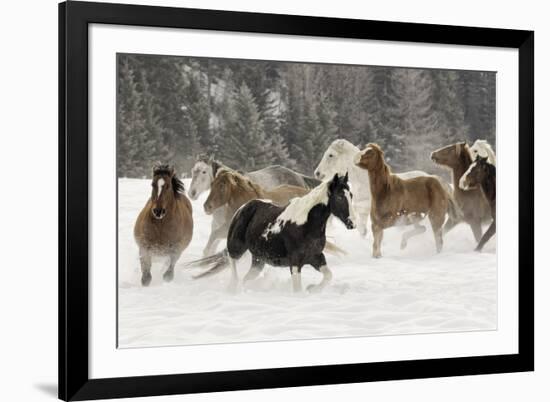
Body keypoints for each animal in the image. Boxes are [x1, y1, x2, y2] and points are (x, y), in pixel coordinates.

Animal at [190, 154, 322, 254]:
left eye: (204, 172)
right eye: (193, 171)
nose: (191, 193)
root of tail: (299, 176)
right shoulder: (218, 225)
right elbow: (210, 246)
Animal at [194, 173, 358, 292]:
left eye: (351, 195)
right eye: (339, 196)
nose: (352, 223)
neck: (306, 223)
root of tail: (244, 207)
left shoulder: (316, 257)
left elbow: (329, 275)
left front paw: (312, 289)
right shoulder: (295, 262)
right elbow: (298, 290)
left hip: (258, 260)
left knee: (246, 278)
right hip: (237, 246)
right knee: (232, 260)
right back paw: (233, 286)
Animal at [316, 138, 454, 245]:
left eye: (331, 155)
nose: (317, 173)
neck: (365, 183)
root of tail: (437, 180)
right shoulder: (361, 211)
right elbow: (362, 231)